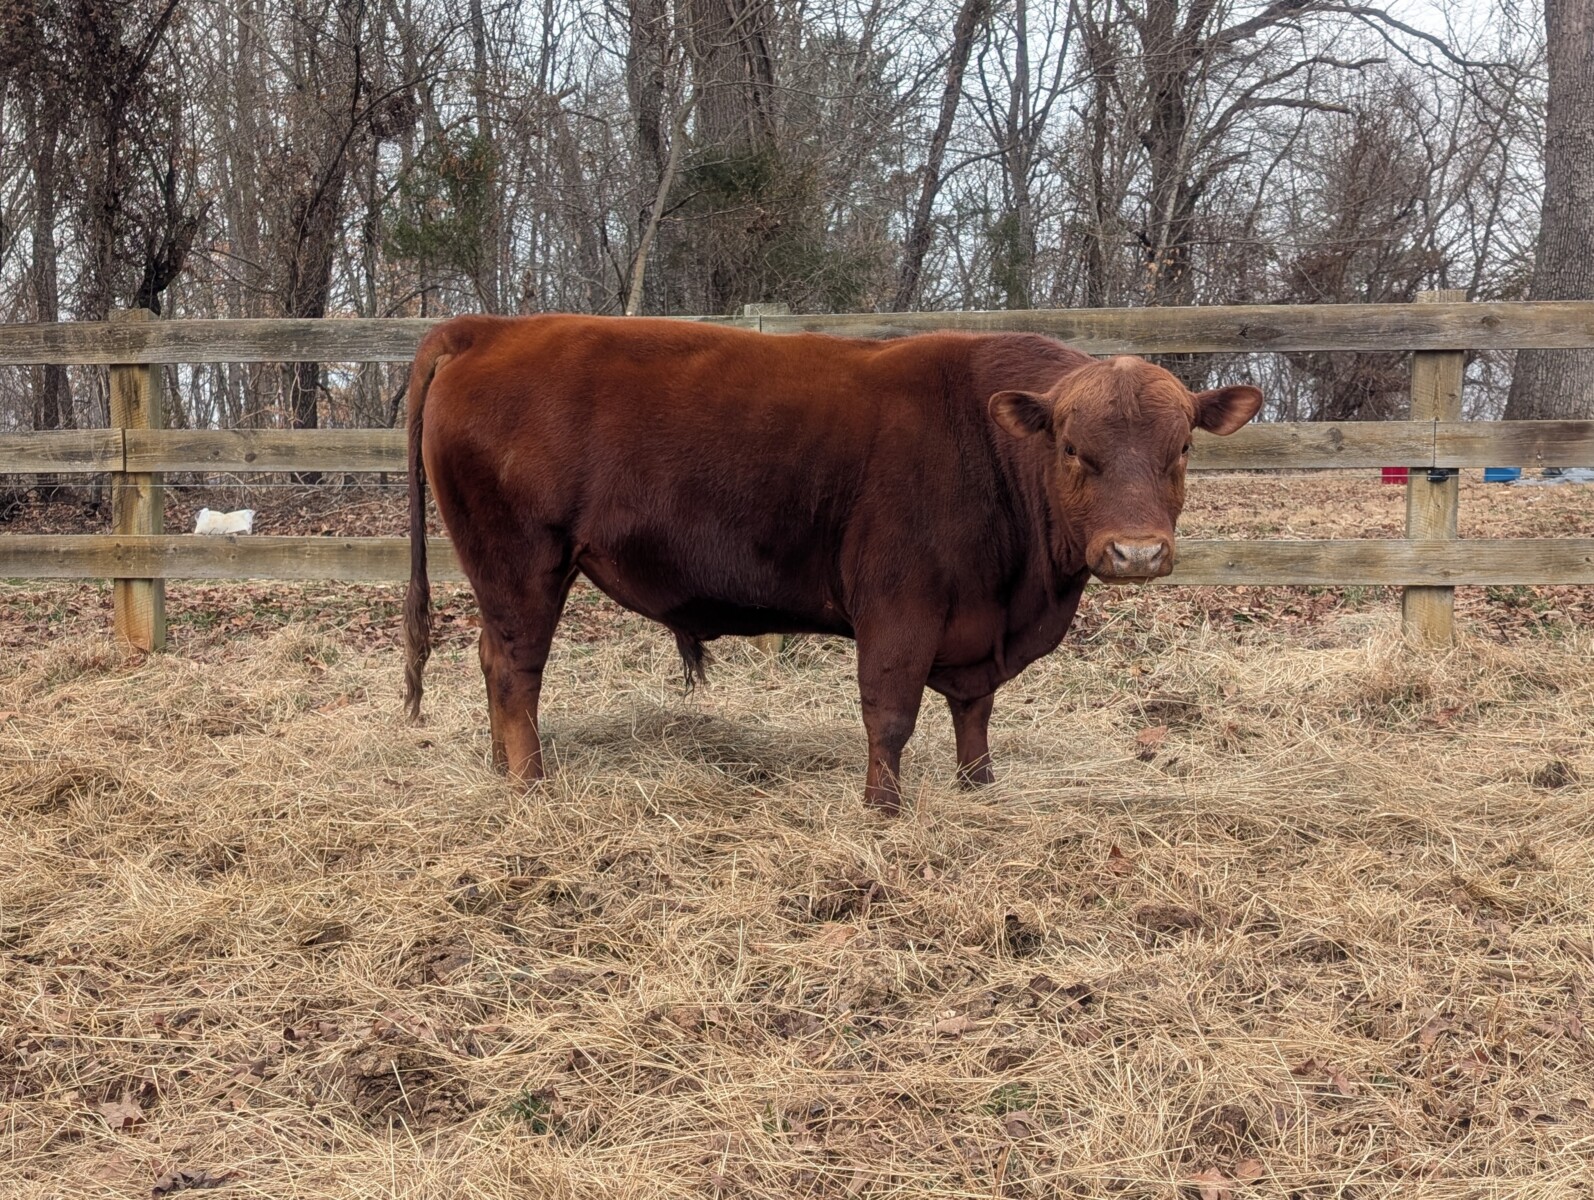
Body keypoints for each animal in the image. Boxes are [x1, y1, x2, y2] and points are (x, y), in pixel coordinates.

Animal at [402, 315, 1261, 814]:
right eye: (1075, 450)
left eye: (1182, 449)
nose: (1136, 552)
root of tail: (491, 326)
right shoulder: (900, 604)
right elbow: (890, 713)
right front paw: (882, 810)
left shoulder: (976, 626)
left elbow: (975, 711)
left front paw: (978, 787)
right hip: (522, 562)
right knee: (518, 669)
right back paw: (530, 785)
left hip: (498, 574)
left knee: (490, 659)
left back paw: (497, 769)